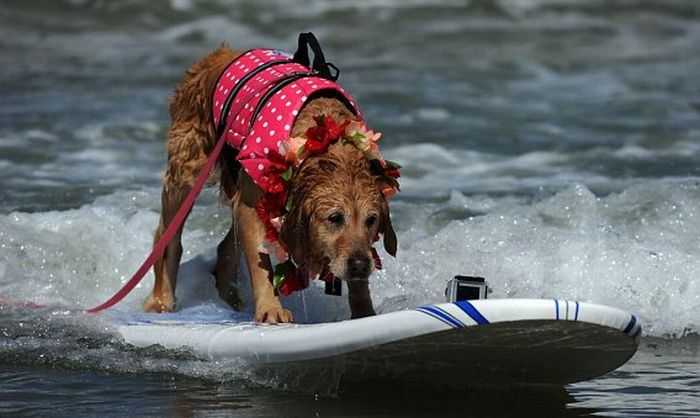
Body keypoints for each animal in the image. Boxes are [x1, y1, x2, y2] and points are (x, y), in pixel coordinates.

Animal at [142, 36, 400, 324]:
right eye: (334, 218)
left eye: (371, 220)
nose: (361, 265)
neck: (325, 140)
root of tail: (217, 56)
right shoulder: (251, 205)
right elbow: (259, 259)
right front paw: (271, 309)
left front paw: (364, 311)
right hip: (187, 170)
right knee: (168, 237)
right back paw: (161, 300)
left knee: (225, 247)